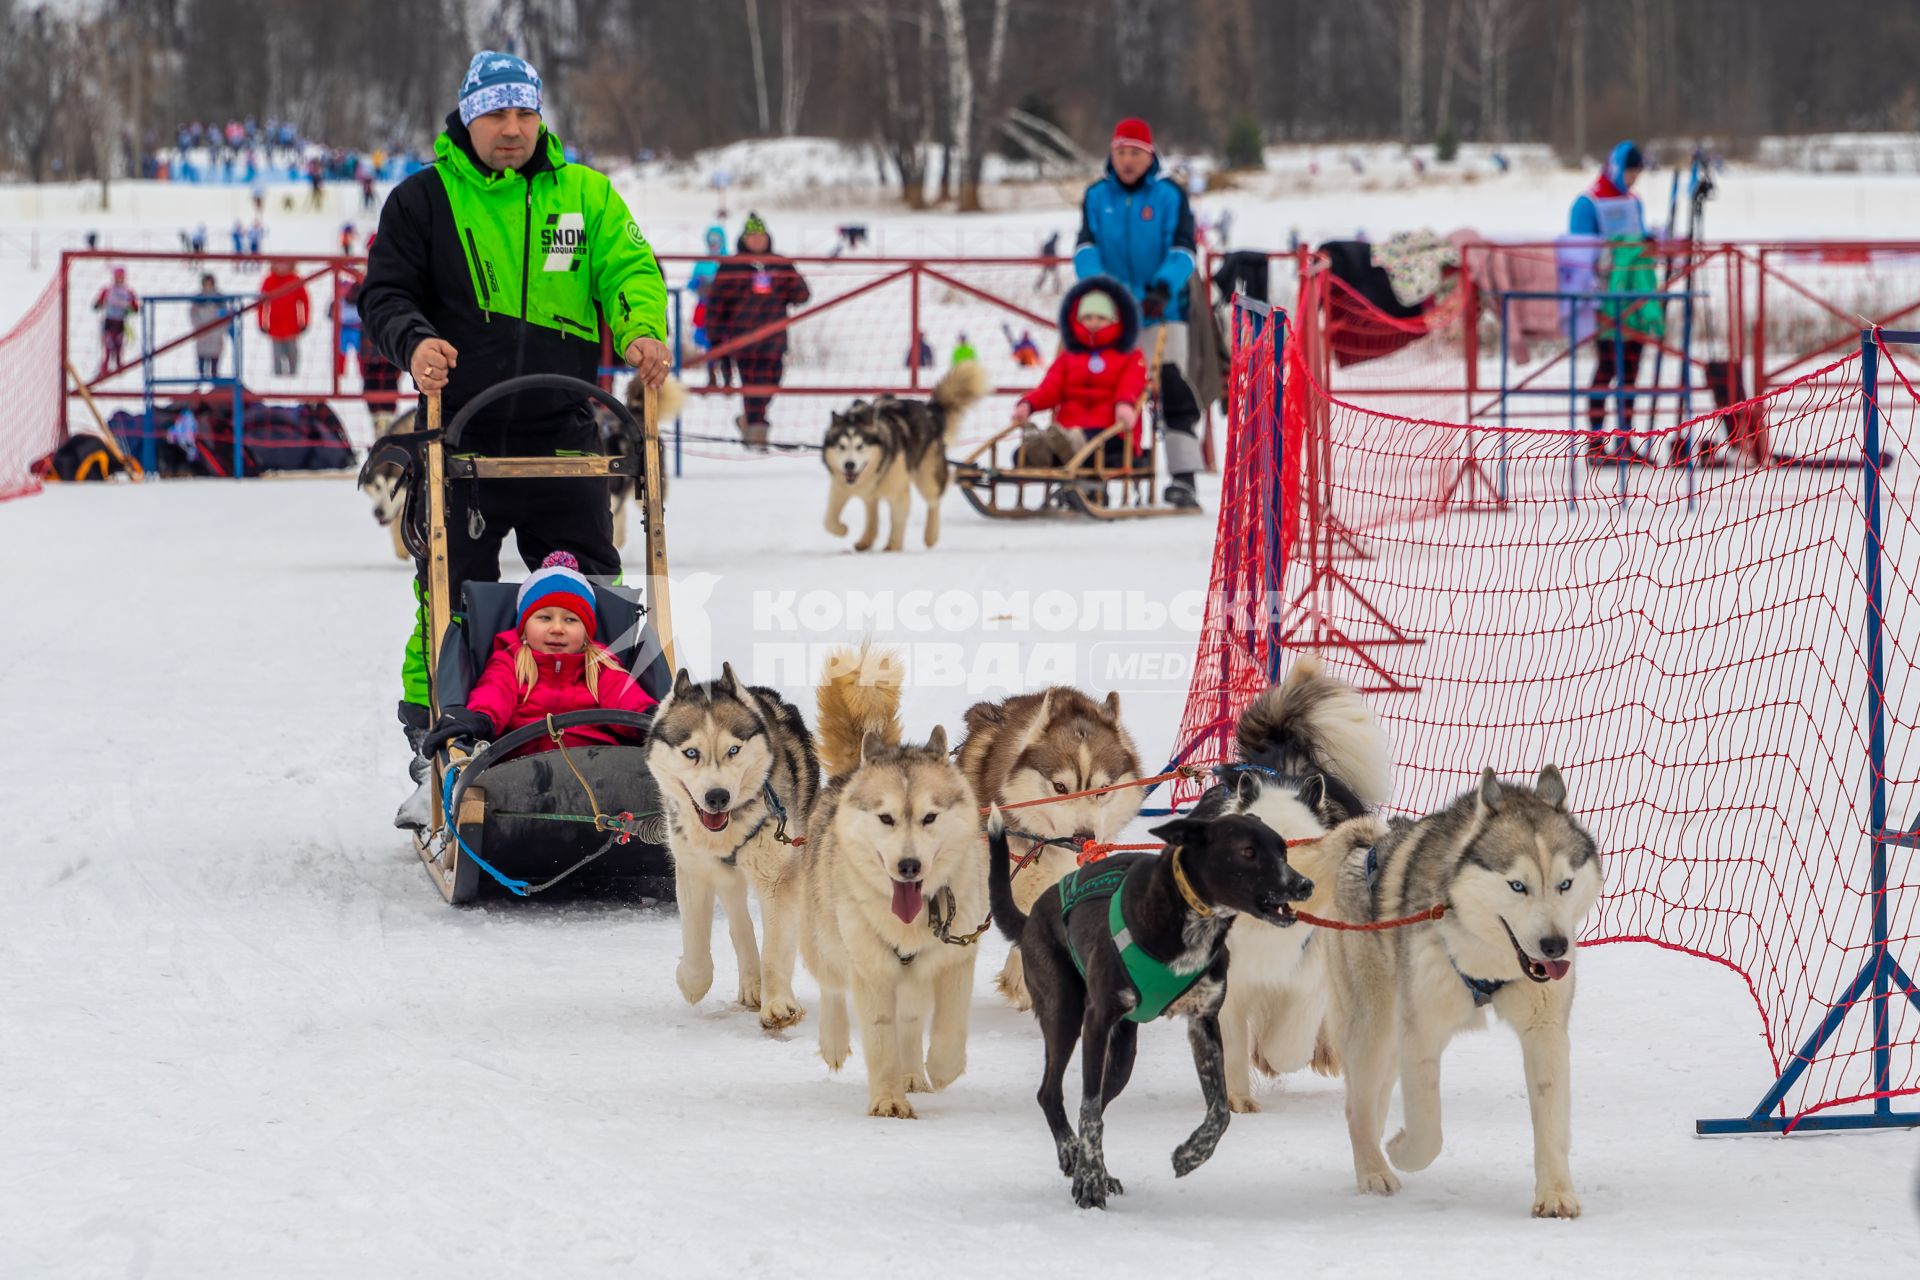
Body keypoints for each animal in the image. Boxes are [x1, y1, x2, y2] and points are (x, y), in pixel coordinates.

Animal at [648, 660, 821, 1028]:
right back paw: (751, 981)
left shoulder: (778, 877)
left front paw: (779, 1003)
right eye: (691, 752)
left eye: (733, 750)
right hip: (726, 878)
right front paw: (690, 981)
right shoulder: (694, 870)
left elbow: (776, 948)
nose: (717, 797)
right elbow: (696, 944)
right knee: (740, 923)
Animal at [821, 364, 990, 556]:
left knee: (934, 501)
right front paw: (842, 529)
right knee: (872, 512)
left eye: (860, 446)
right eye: (841, 447)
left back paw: (930, 535)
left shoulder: (898, 492)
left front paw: (893, 547)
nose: (849, 465)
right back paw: (866, 541)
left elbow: (897, 519)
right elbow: (829, 521)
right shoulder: (840, 488)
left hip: (927, 478)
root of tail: (929, 409)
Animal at [1190, 660, 1390, 1113]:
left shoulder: (1307, 975)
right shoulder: (1227, 981)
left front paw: (1275, 1057)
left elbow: (1288, 1041)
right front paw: (1236, 1098)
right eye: (1250, 851)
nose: (1298, 887)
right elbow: (1230, 1042)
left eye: (1300, 845)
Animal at [1320, 767, 1605, 1220]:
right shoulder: (1421, 1033)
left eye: (1565, 883)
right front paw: (1401, 1150)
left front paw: (1556, 1194)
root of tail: (1365, 846)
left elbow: (1551, 1123)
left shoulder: (1545, 1031)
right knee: (1357, 1106)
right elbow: (1428, 1132)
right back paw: (1374, 1169)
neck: (1489, 960)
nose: (1555, 946)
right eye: (1518, 886)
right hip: (1373, 1025)